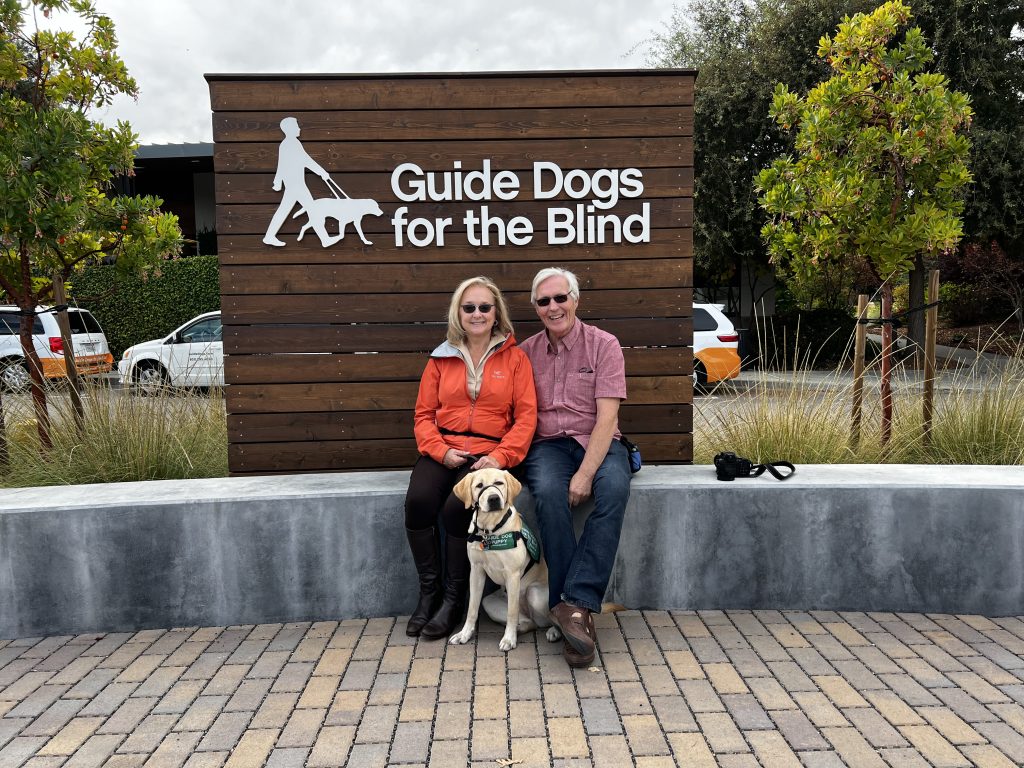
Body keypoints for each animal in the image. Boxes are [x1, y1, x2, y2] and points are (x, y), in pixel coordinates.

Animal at [448, 468, 561, 651]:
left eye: (499, 483)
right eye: (479, 485)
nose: (494, 498)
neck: (489, 531)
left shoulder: (513, 574)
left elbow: (511, 612)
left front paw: (509, 639)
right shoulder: (476, 570)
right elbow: (472, 608)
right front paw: (464, 634)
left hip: (534, 594)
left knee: (550, 617)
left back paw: (554, 631)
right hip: (489, 601)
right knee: (529, 623)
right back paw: (520, 629)